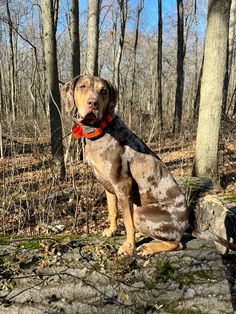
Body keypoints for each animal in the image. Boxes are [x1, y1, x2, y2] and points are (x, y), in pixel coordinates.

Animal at [61, 75, 235, 255]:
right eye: (82, 86)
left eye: (103, 91)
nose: (93, 103)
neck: (98, 131)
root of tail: (186, 224)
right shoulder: (108, 186)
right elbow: (112, 211)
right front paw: (111, 230)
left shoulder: (122, 184)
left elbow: (127, 222)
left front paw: (129, 246)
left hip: (142, 213)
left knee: (176, 243)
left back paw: (149, 247)